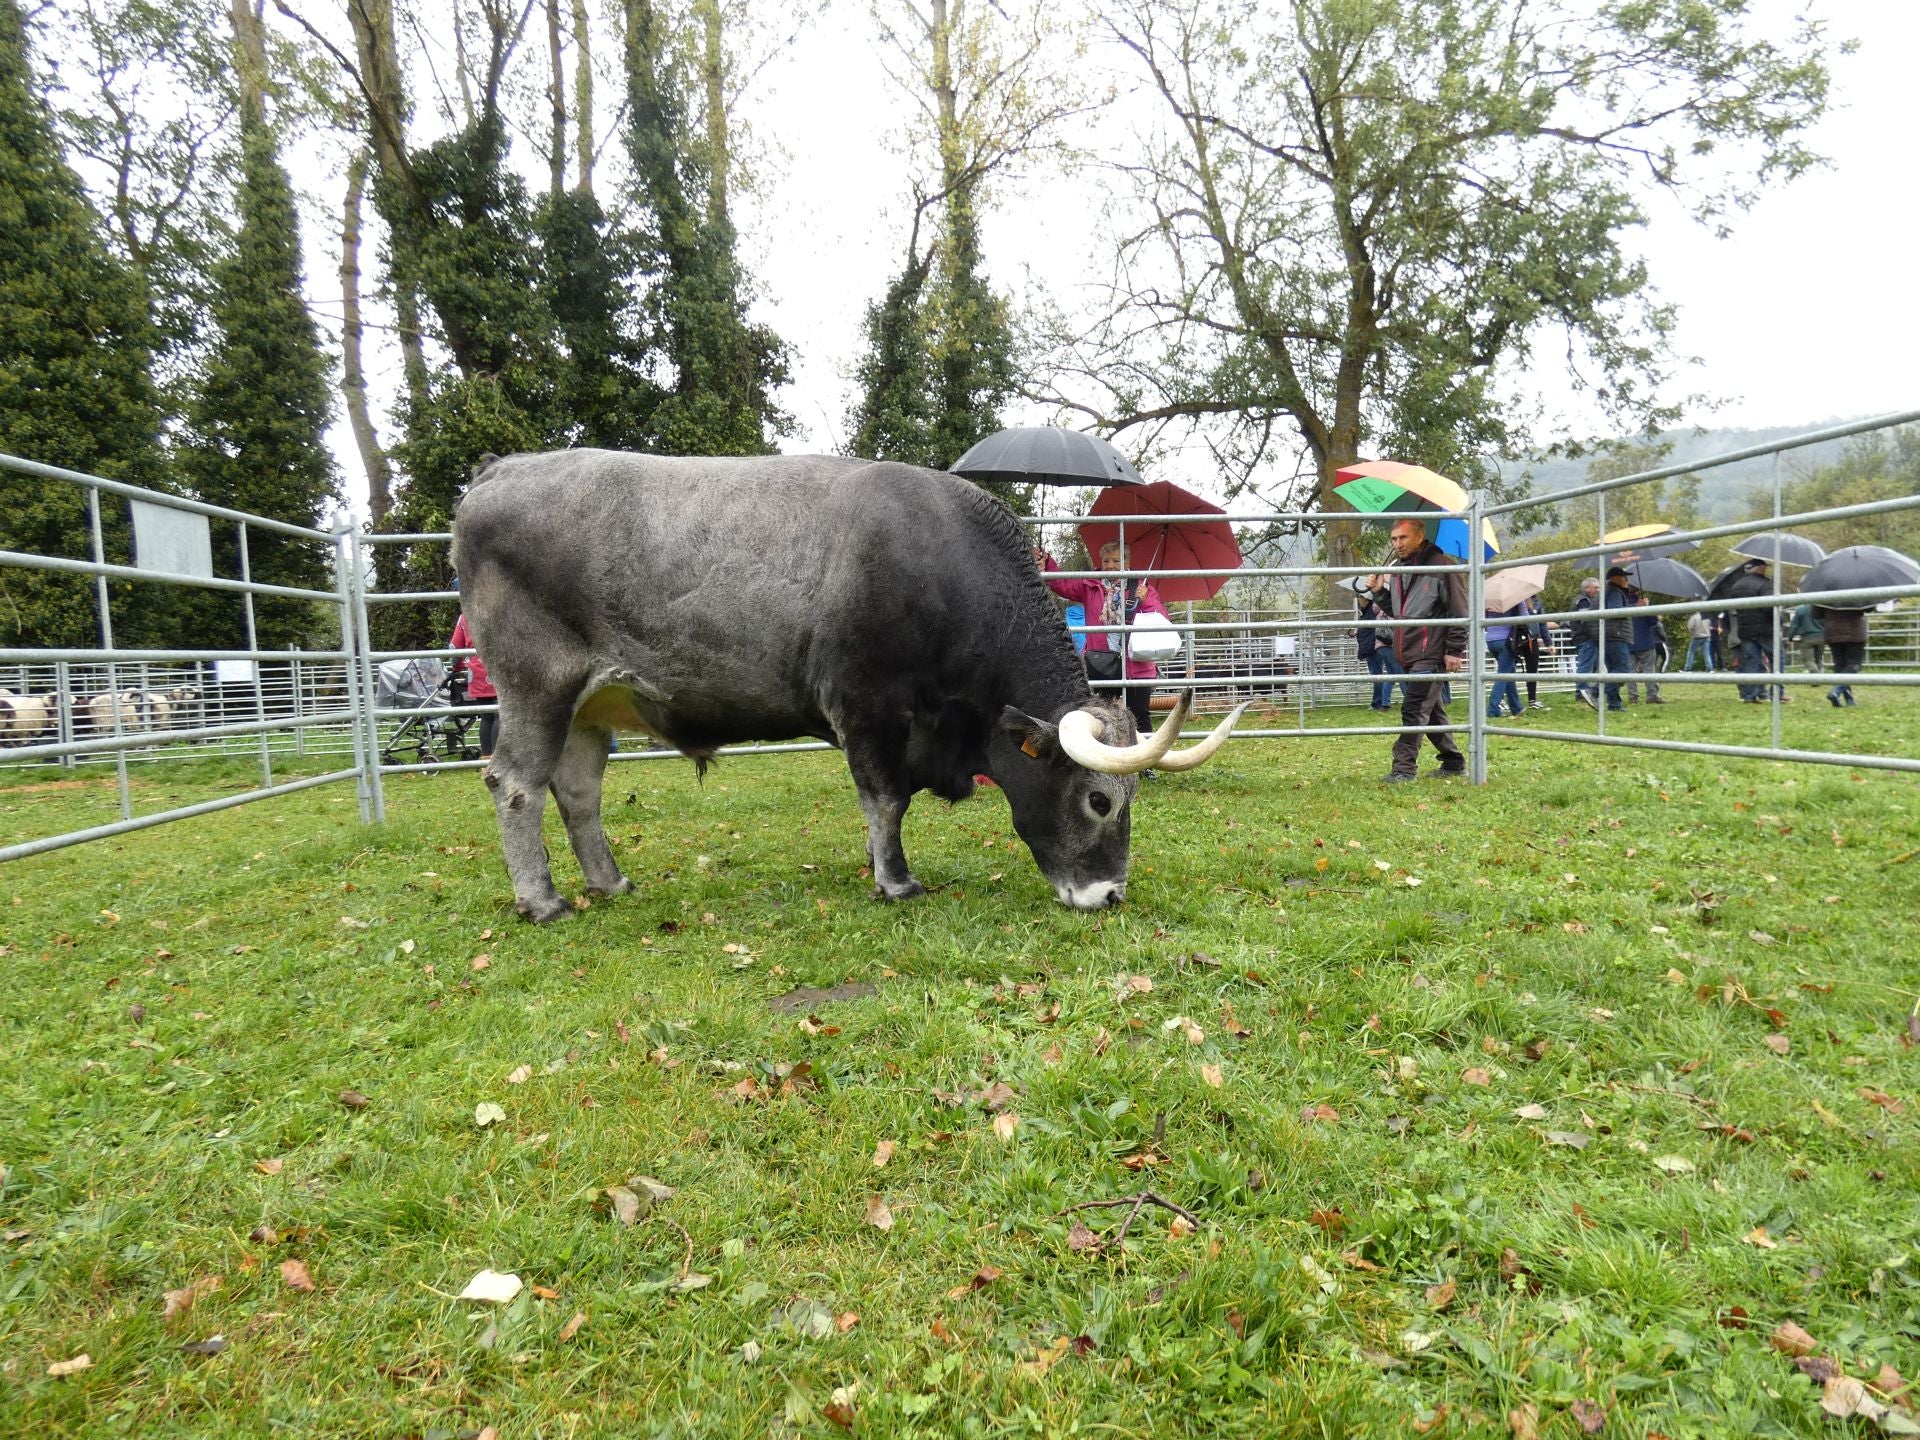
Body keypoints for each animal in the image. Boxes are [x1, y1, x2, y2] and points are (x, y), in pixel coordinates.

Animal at [456, 453, 1251, 925]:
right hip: (537, 686)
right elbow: (886, 799)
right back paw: (542, 899)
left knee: (577, 792)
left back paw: (609, 881)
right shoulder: (869, 707)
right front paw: (894, 879)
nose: (1110, 894)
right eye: (1099, 800)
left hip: (591, 707)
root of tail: (498, 473)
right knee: (515, 783)